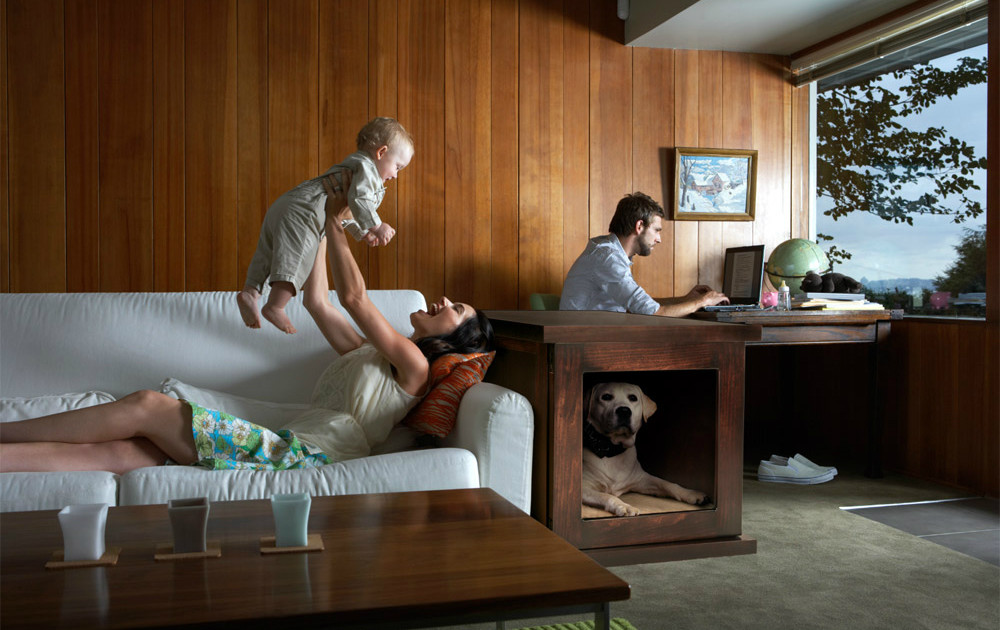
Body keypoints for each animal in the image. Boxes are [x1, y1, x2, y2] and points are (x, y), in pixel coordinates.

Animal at [580, 380, 712, 512]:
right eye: (606, 397)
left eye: (633, 398)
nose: (624, 410)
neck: (612, 449)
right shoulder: (584, 489)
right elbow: (607, 496)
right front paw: (624, 506)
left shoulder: (642, 479)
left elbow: (668, 484)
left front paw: (691, 494)